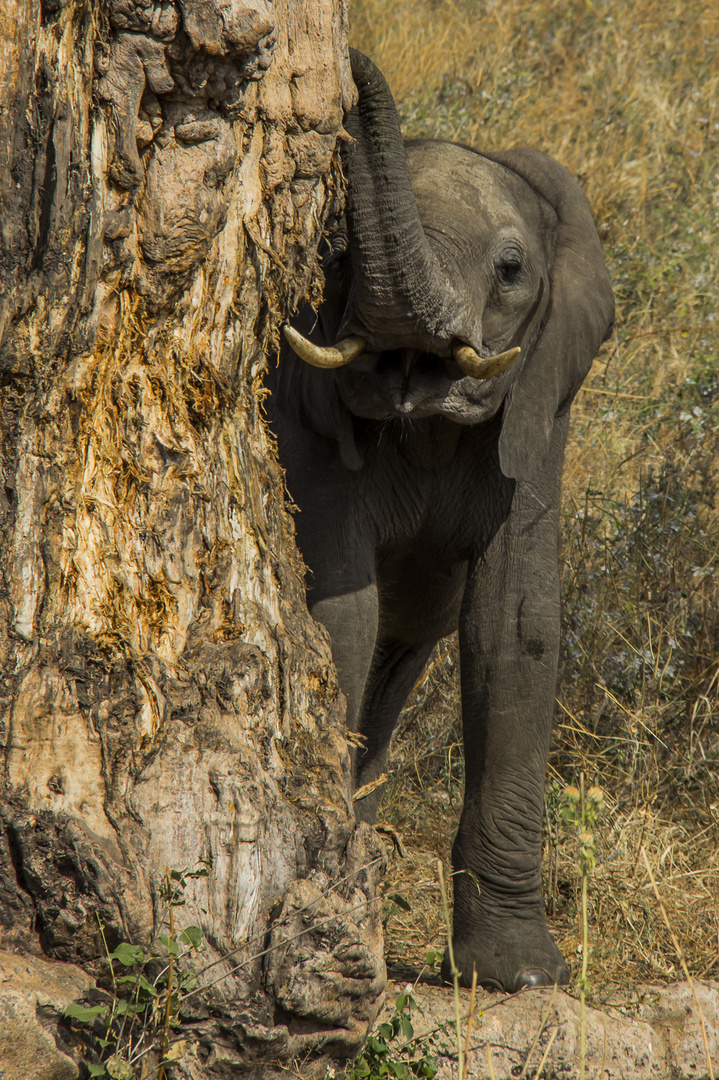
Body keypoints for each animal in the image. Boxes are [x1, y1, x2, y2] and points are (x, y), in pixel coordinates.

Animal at [265, 52, 613, 993]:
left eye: (510, 270)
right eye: (336, 256)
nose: (354, 70)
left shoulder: (539, 404)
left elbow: (515, 625)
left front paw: (517, 976)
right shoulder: (305, 407)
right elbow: (337, 610)